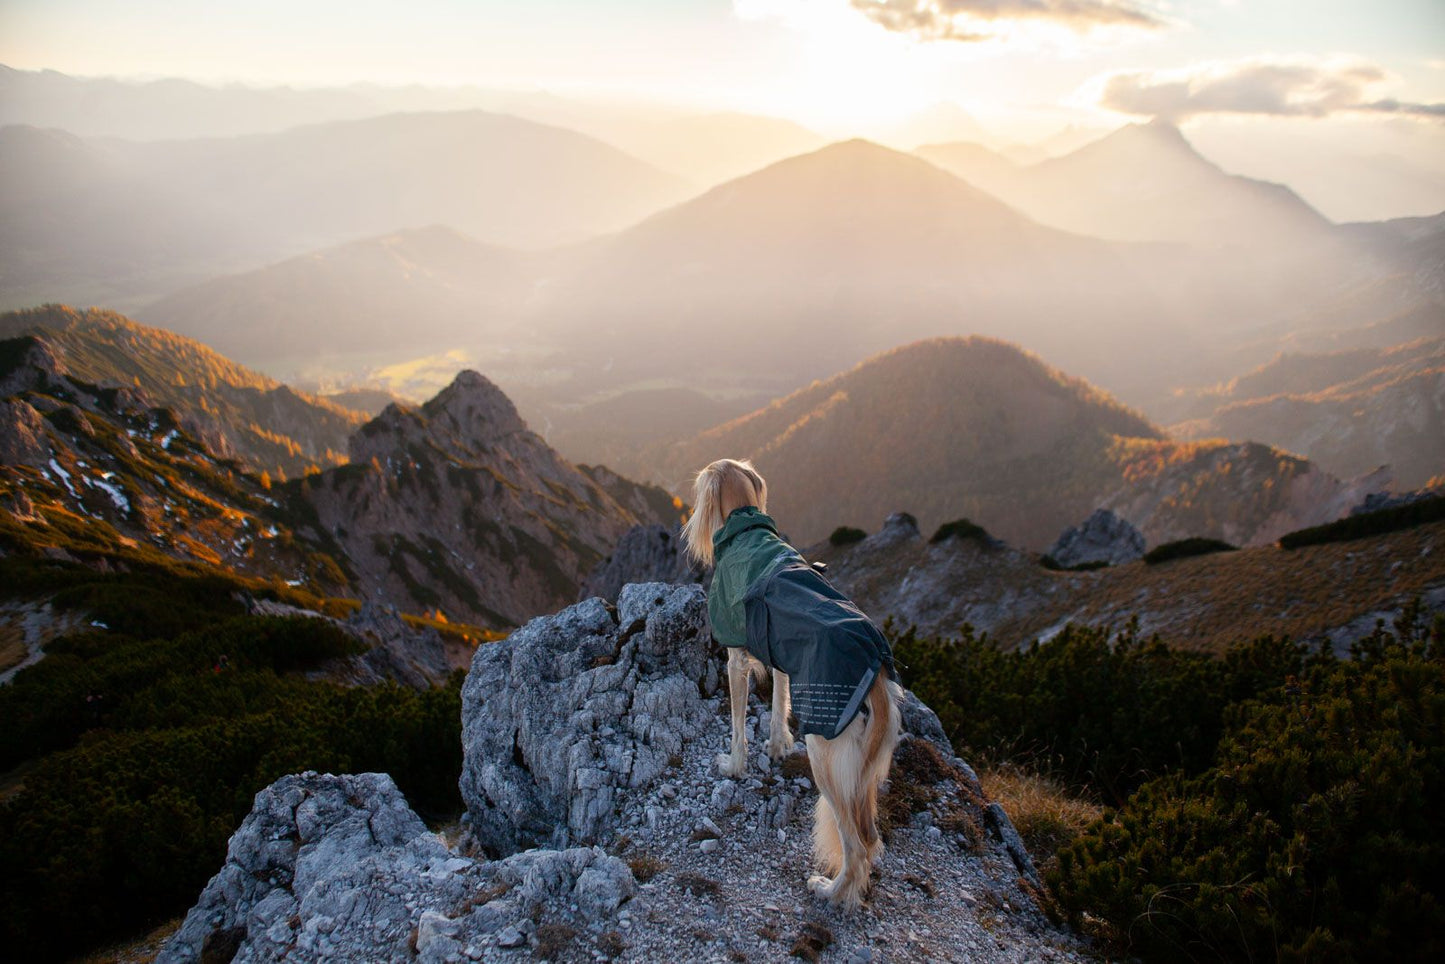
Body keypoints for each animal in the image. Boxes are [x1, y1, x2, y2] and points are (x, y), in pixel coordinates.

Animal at [679, 456, 901, 907]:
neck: (746, 525)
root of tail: (876, 669)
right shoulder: (782, 651)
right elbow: (780, 701)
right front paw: (779, 744)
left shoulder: (736, 658)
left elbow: (737, 725)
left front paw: (734, 766)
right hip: (865, 771)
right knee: (871, 837)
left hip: (829, 752)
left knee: (857, 845)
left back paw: (832, 891)